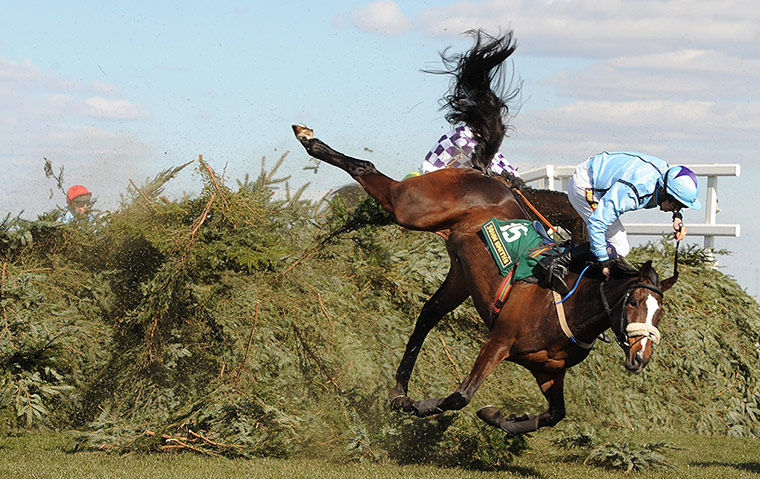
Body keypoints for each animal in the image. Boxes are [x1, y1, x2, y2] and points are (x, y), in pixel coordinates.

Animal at [290, 30, 676, 435]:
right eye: (633, 302)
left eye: (659, 314)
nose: (641, 356)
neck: (572, 307)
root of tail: (486, 174)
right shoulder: (499, 341)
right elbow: (461, 396)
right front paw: (425, 405)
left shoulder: (548, 371)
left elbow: (553, 415)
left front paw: (497, 417)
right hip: (412, 207)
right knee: (367, 169)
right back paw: (309, 139)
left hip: (461, 272)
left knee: (427, 314)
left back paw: (399, 388)